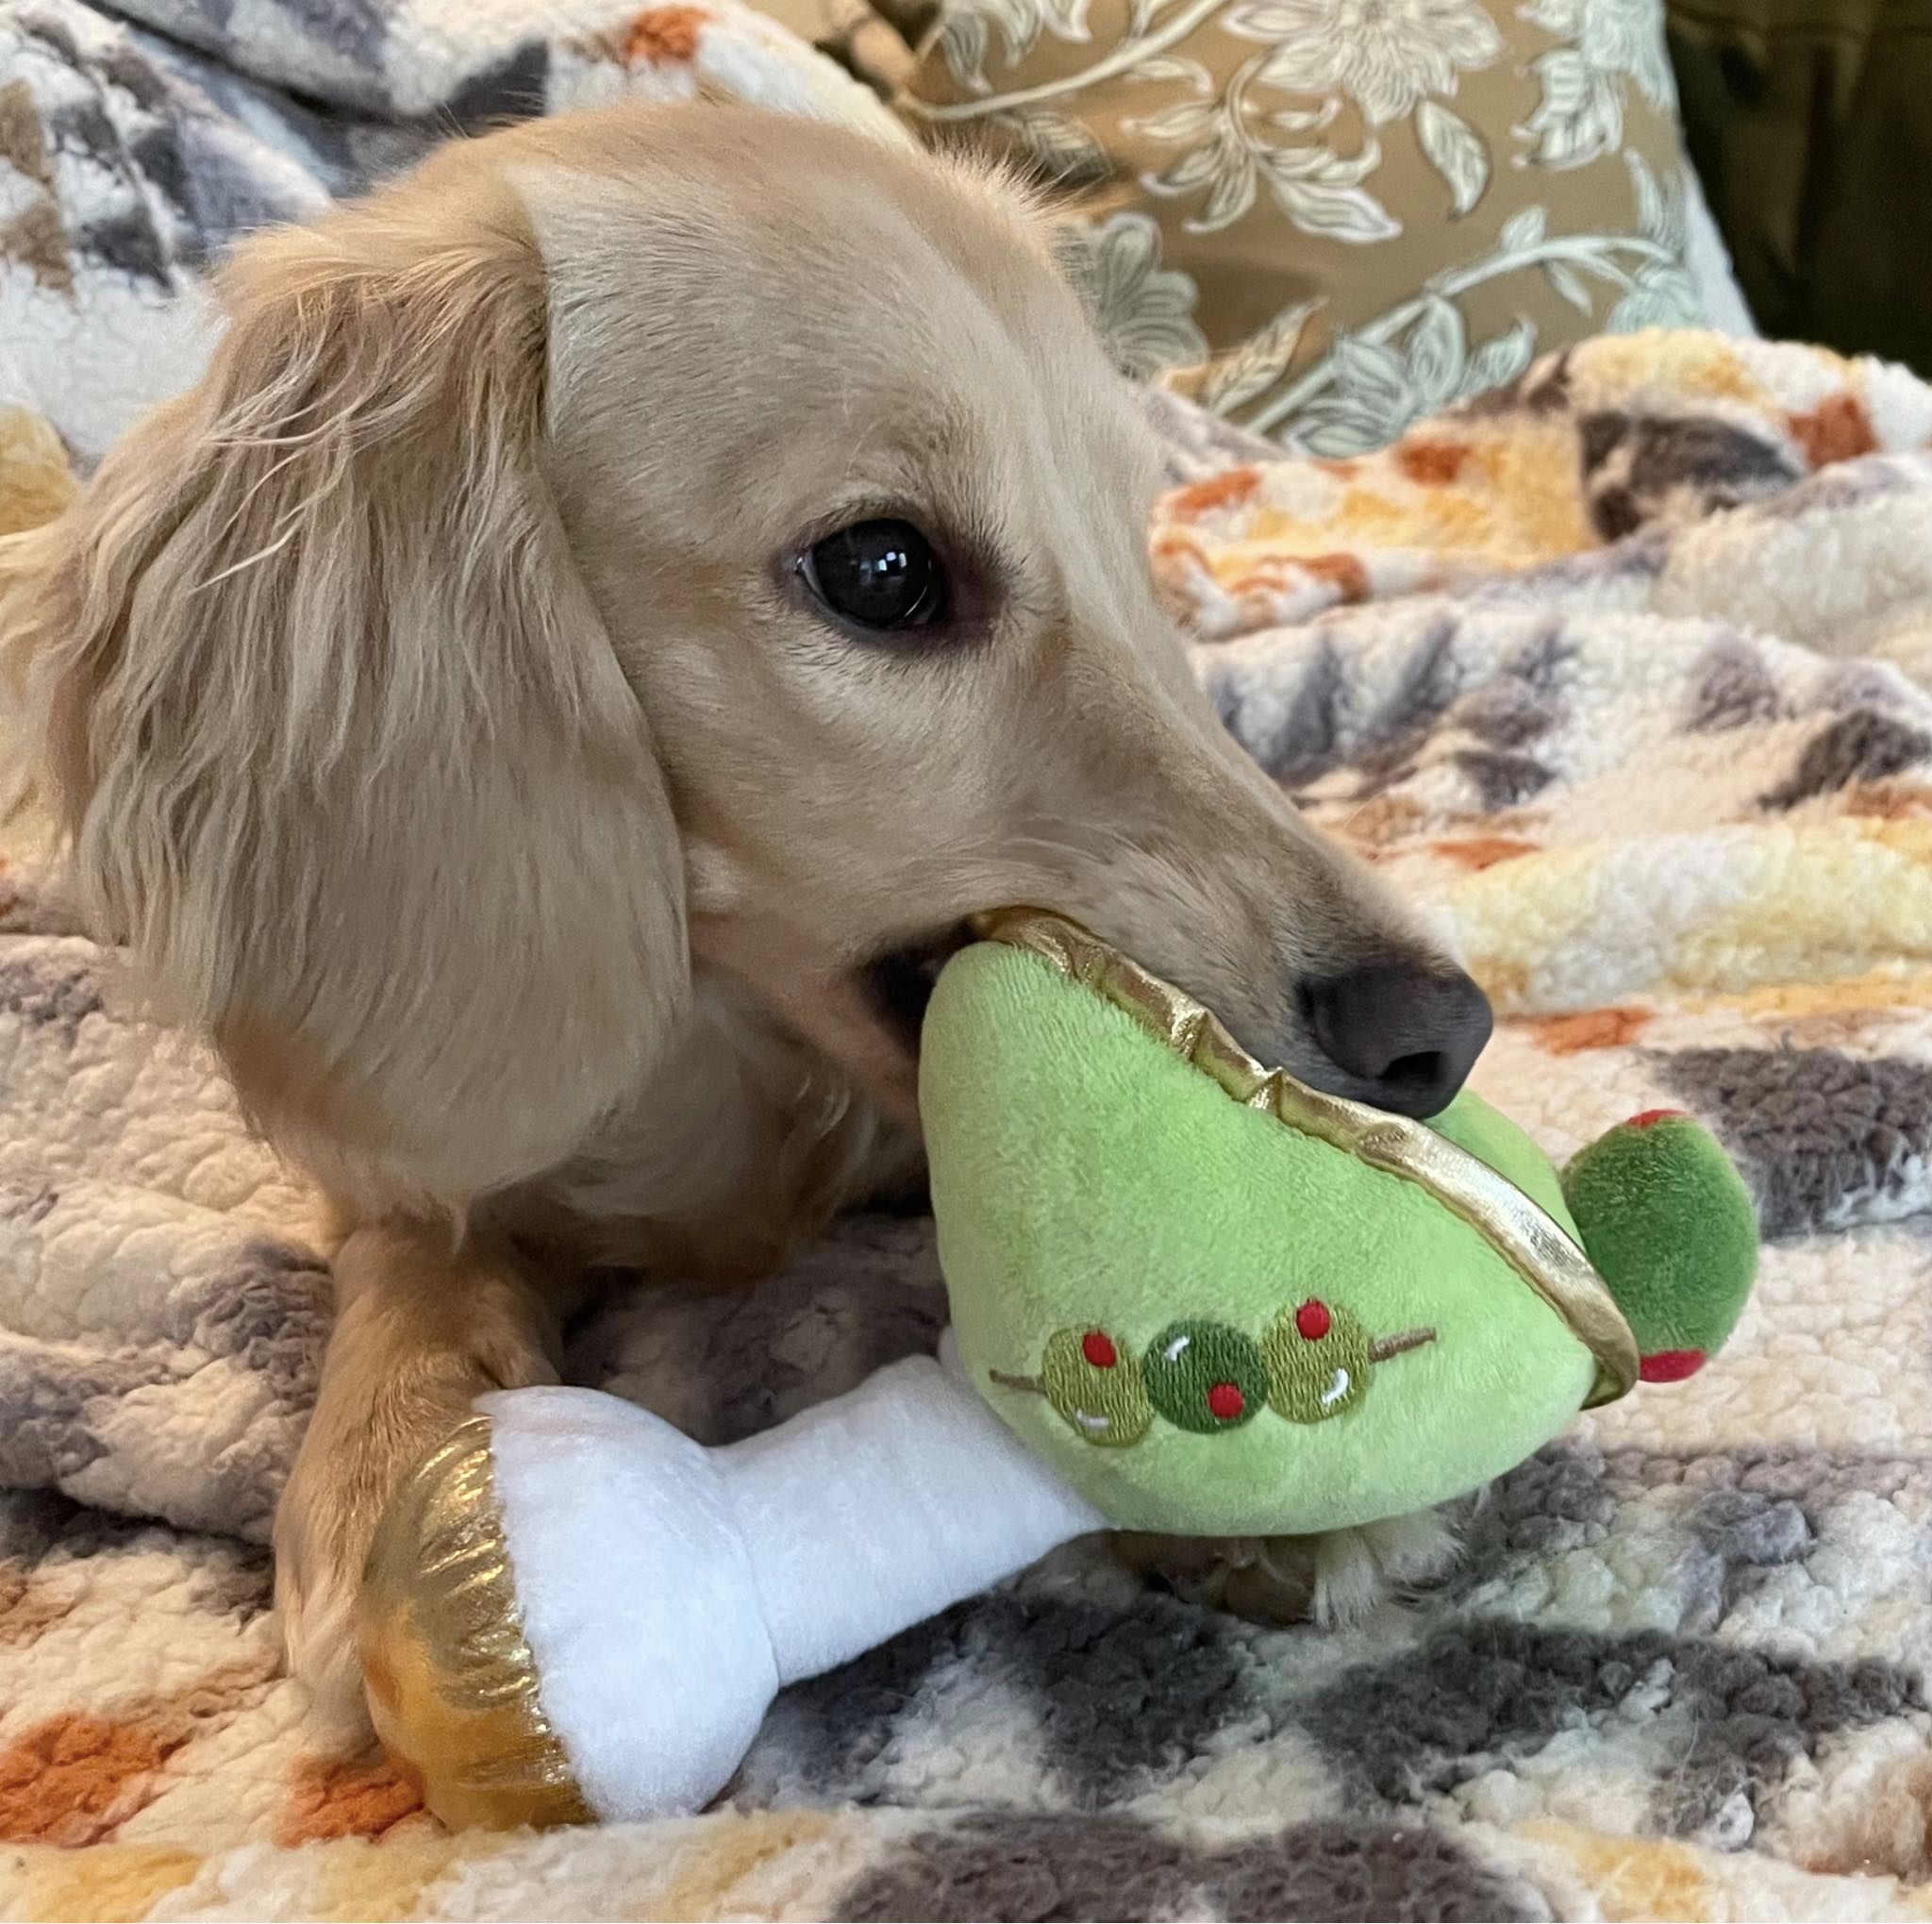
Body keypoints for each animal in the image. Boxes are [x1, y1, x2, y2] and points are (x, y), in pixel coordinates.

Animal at [0, 105, 1491, 1731]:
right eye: (882, 567)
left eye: (1133, 547)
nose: (1445, 1034)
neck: (729, 1069)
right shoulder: (395, 1153)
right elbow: (413, 1258)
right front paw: (394, 1453)